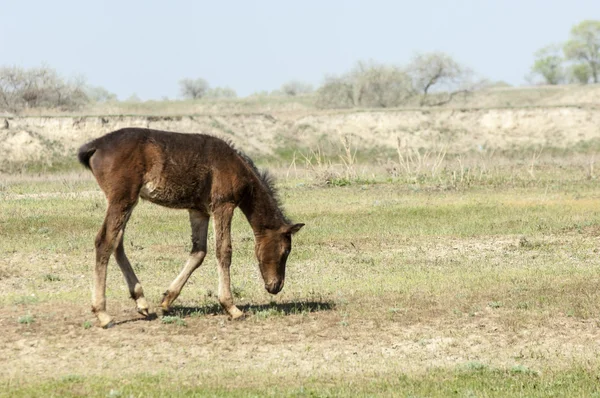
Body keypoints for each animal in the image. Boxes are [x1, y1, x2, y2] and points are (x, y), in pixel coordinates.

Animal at [78, 127, 304, 326]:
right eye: (286, 251)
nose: (276, 286)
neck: (237, 166)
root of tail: (96, 145)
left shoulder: (199, 211)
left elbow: (199, 252)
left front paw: (167, 299)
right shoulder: (223, 205)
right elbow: (224, 251)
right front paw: (231, 308)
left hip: (126, 202)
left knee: (118, 242)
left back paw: (141, 301)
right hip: (122, 199)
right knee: (105, 241)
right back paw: (103, 314)